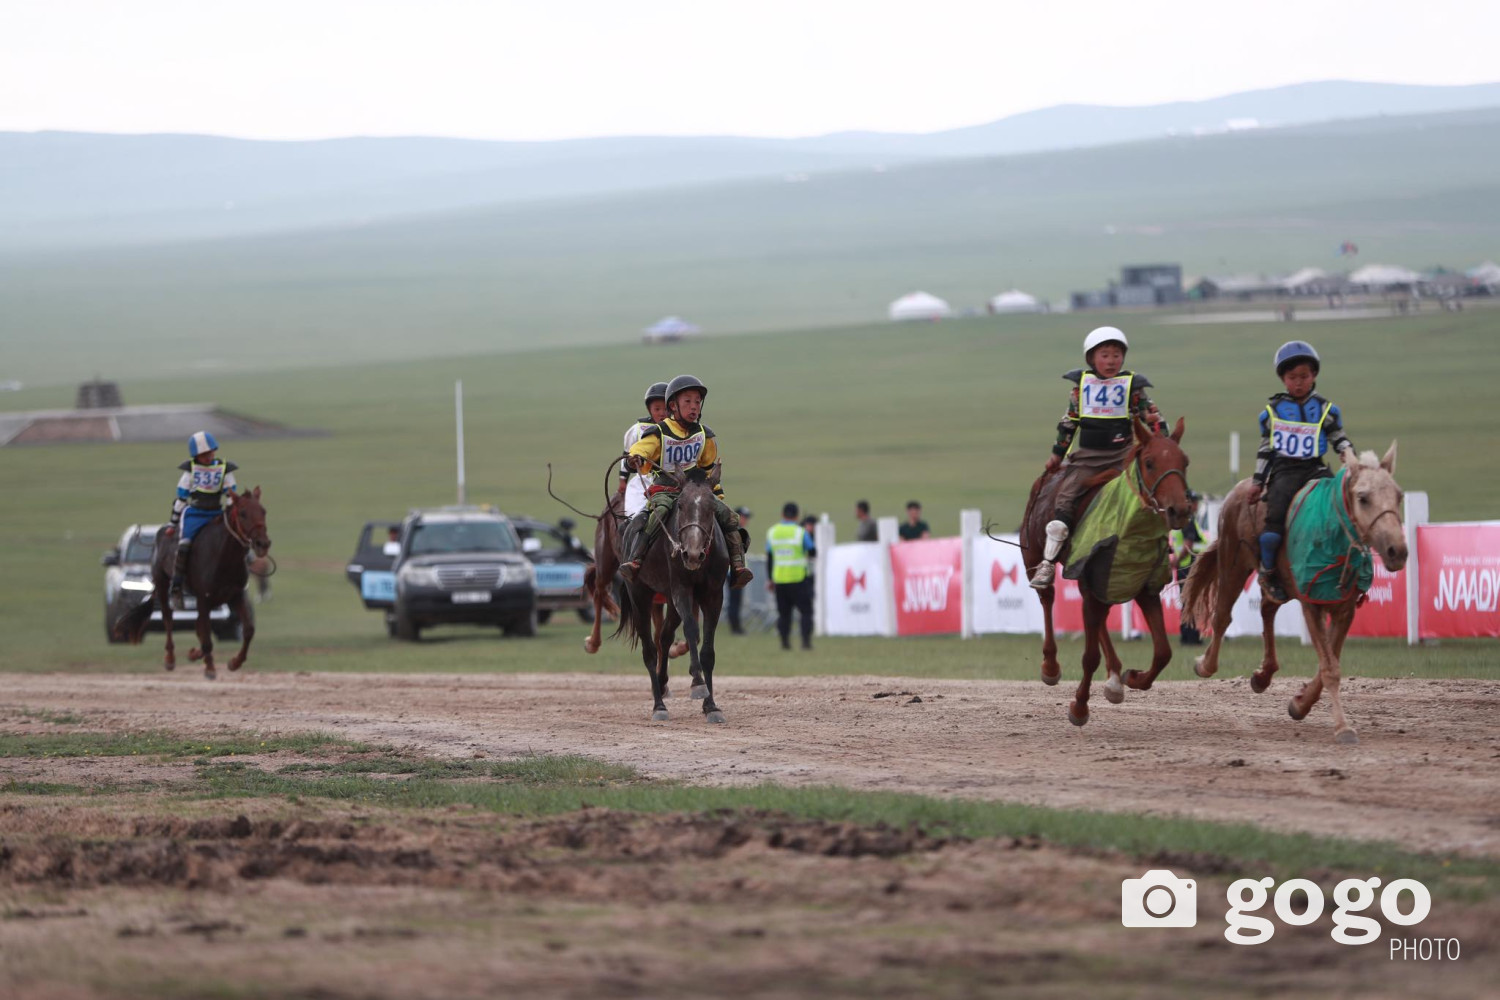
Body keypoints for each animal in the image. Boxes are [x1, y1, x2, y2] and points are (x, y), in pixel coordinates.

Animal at [114, 485, 276, 680]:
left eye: (263, 511)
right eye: (243, 513)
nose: (262, 544)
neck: (223, 557)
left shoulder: (235, 596)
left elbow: (248, 630)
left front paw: (234, 662)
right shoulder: (204, 598)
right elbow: (206, 636)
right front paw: (210, 668)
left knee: (199, 626)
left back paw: (195, 654)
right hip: (163, 585)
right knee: (168, 619)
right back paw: (170, 658)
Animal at [609, 464, 726, 722]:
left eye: (712, 507)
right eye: (680, 505)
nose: (692, 554)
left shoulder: (714, 596)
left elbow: (708, 651)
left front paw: (711, 706)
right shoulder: (681, 590)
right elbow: (691, 630)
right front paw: (697, 684)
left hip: (670, 603)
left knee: (664, 638)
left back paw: (663, 685)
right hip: (640, 595)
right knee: (650, 649)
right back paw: (659, 706)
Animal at [1020, 416, 1194, 728]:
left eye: (1184, 461)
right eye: (1149, 462)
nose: (1180, 510)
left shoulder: (1144, 589)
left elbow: (1163, 652)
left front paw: (1133, 678)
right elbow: (1089, 657)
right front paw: (1079, 707)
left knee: (1098, 620)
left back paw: (1114, 678)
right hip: (1033, 554)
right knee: (1047, 597)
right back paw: (1050, 666)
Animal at [1182, 446, 1404, 743]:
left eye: (1398, 496)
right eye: (1363, 497)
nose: (1397, 551)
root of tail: (1239, 490)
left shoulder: (1344, 610)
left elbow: (1329, 663)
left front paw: (1300, 704)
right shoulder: (1311, 605)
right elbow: (1330, 668)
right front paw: (1342, 727)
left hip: (1281, 584)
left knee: (1266, 608)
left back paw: (1263, 675)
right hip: (1233, 565)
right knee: (1222, 618)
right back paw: (1205, 664)